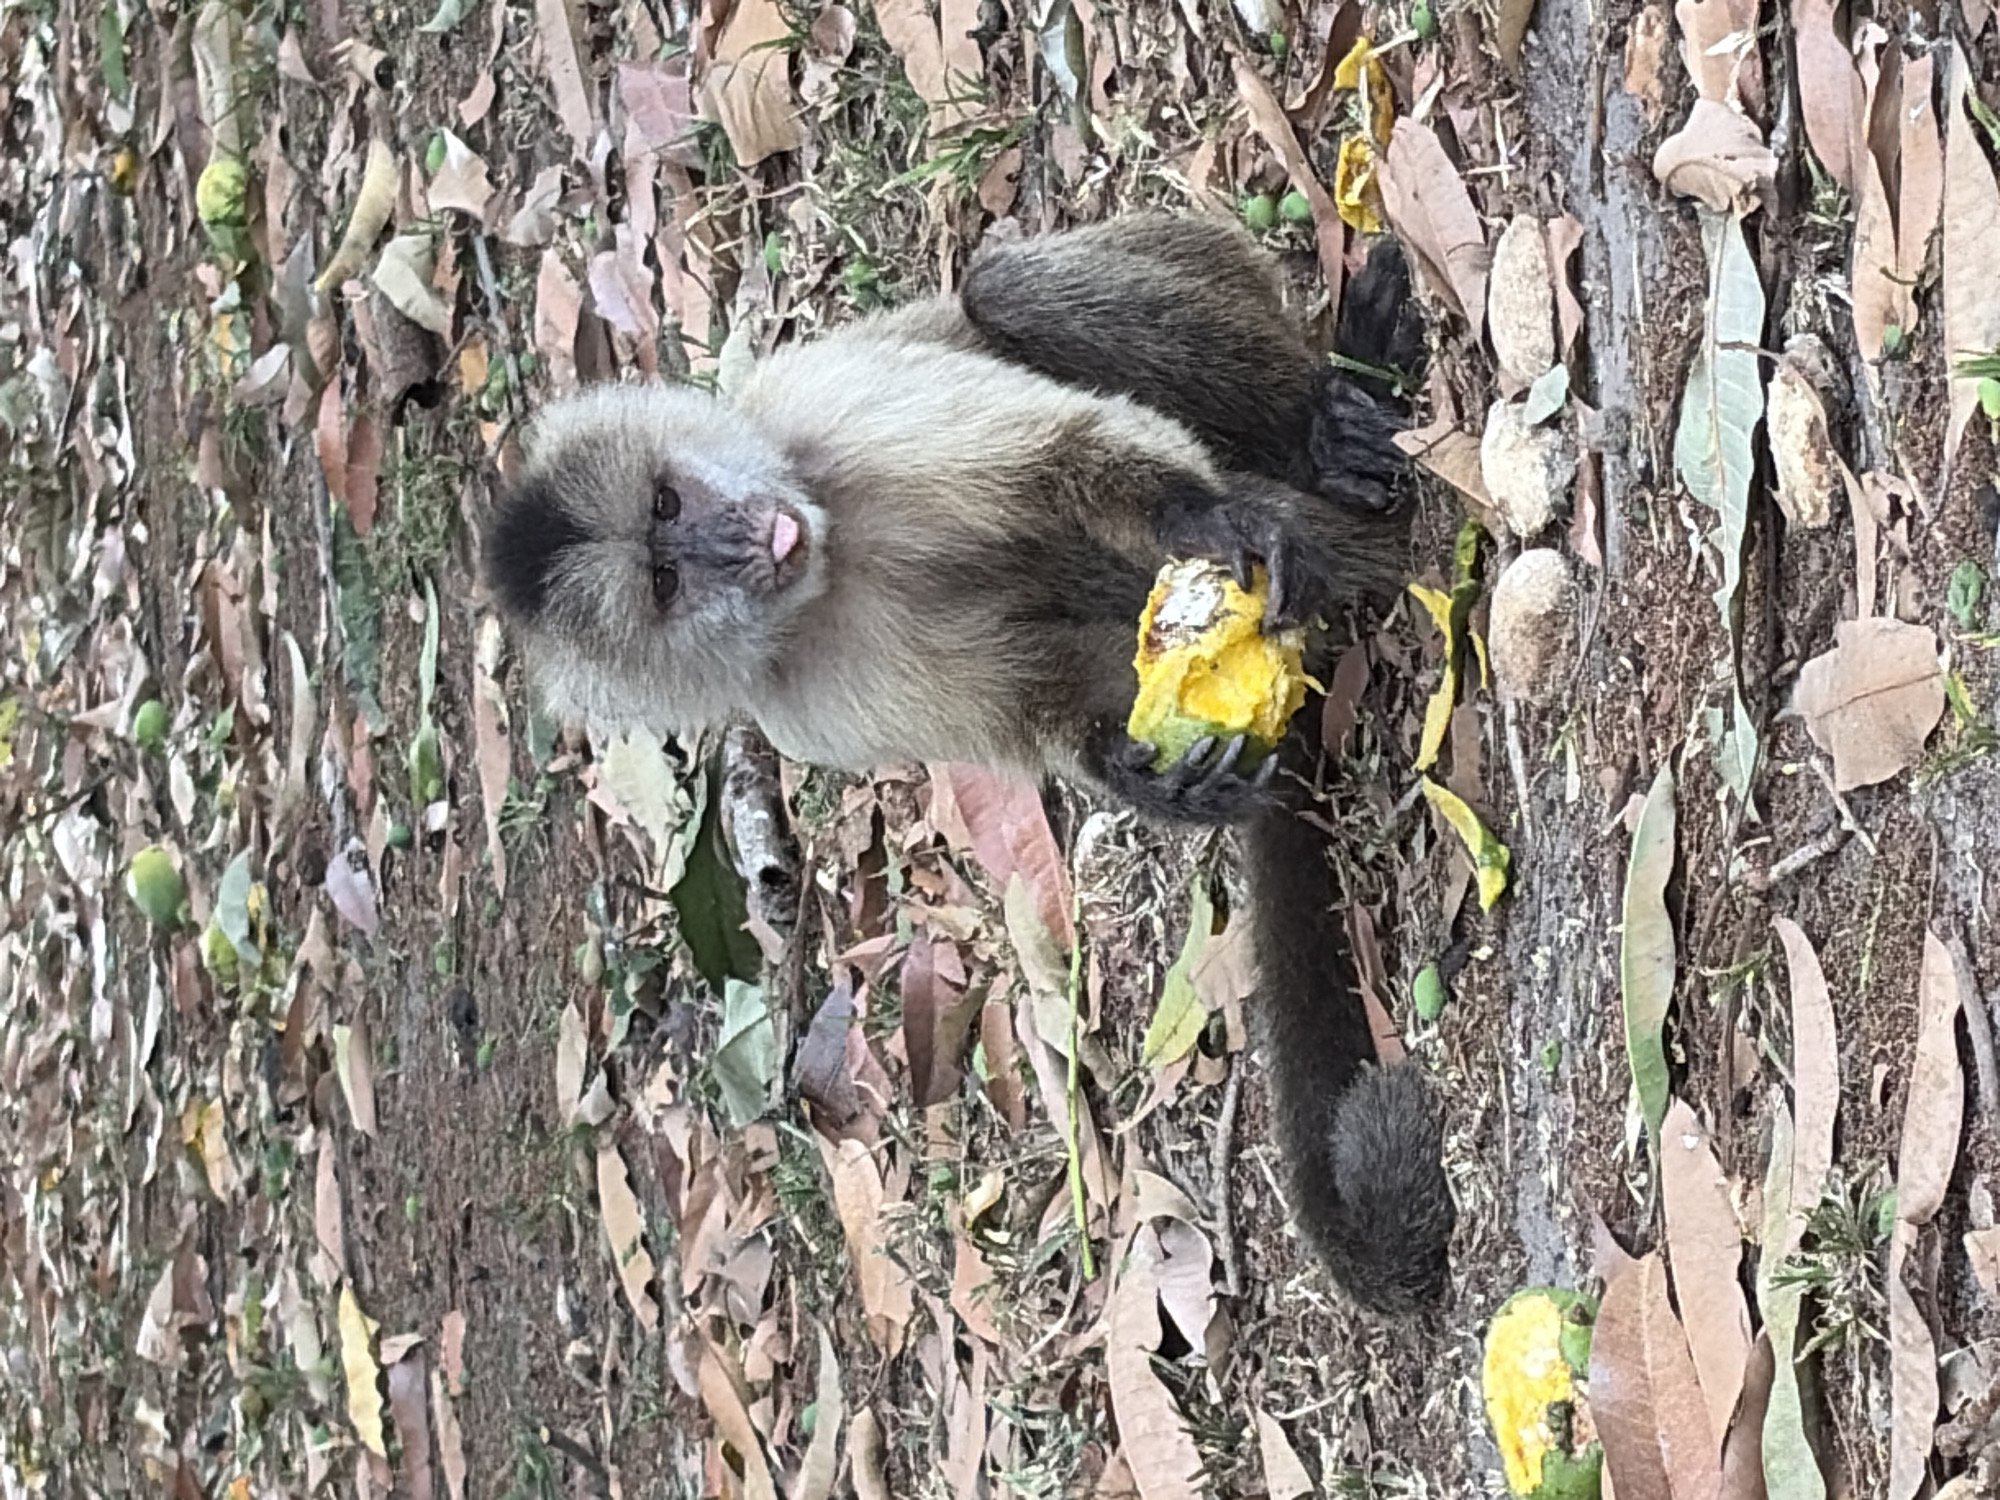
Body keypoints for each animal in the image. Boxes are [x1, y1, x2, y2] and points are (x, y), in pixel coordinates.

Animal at [482, 214, 1454, 1314]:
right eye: (663, 576)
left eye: (666, 501)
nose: (733, 543)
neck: (829, 557)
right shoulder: (794, 703)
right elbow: (1027, 701)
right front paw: (1136, 770)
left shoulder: (818, 405)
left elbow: (1062, 461)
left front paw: (1197, 518)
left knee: (1003, 291)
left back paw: (1323, 429)